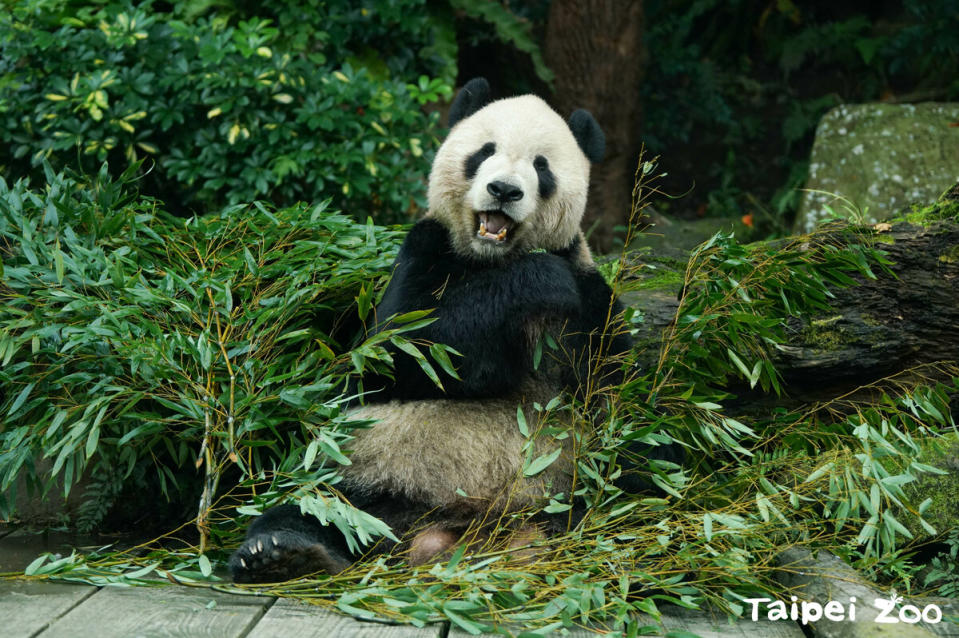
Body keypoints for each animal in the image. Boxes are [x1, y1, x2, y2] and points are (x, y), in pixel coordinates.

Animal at [232, 80, 632, 584]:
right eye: (485, 152)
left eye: (541, 166)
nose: (504, 189)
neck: (491, 260)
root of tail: (457, 536)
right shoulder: (424, 253)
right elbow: (401, 353)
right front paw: (538, 280)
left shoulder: (590, 294)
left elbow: (615, 390)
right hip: (363, 473)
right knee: (318, 506)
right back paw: (282, 552)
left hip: (561, 496)